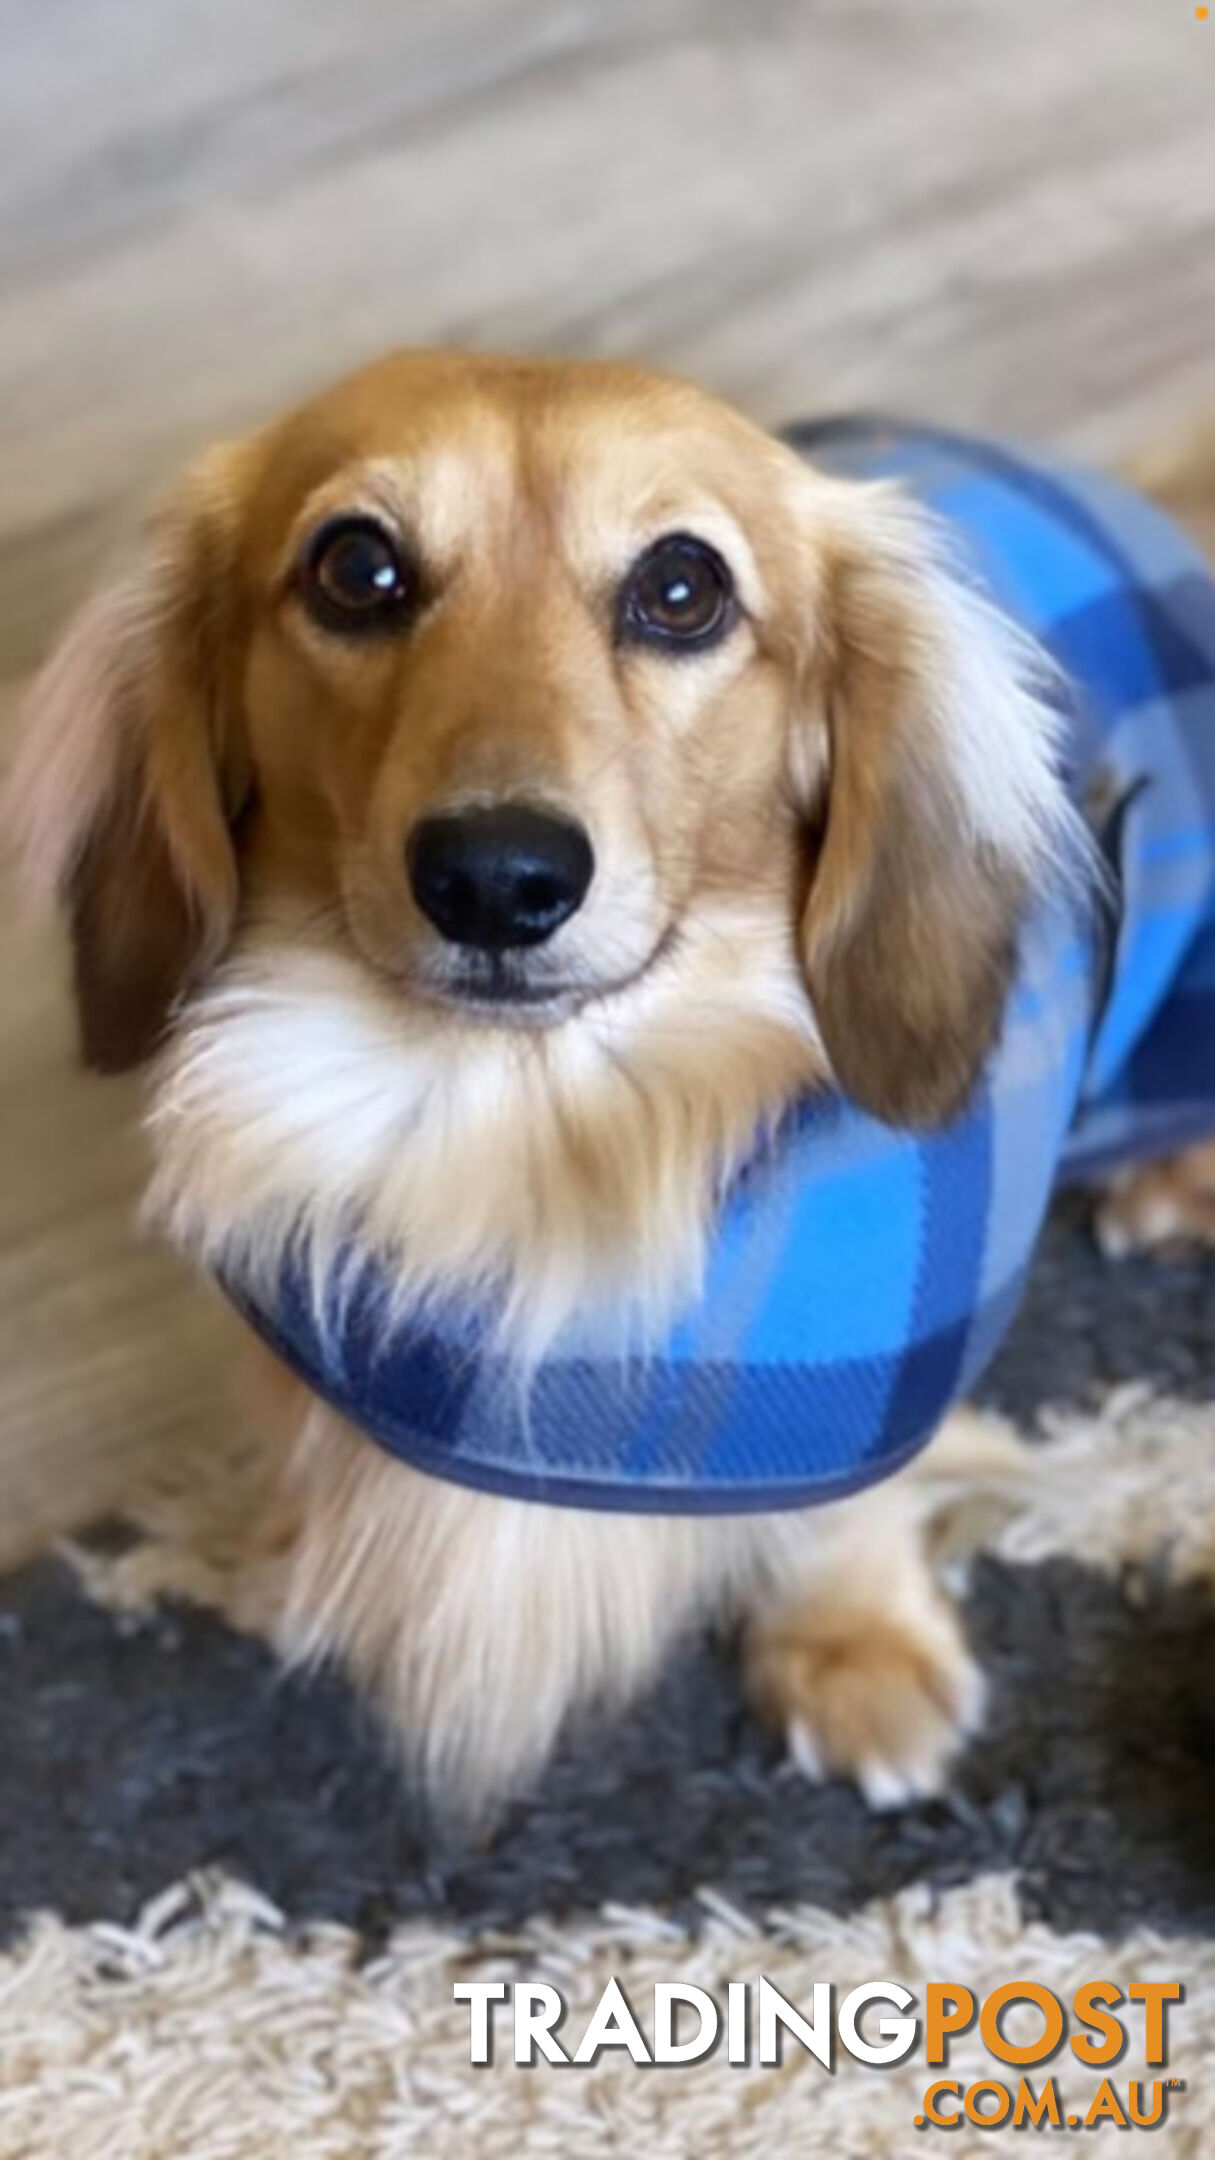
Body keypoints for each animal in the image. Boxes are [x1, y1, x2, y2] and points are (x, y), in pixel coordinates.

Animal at [7, 358, 1202, 1823]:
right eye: (357, 567)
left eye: (681, 588)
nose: (495, 880)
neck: (515, 1139)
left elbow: (846, 1511)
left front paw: (854, 1651)